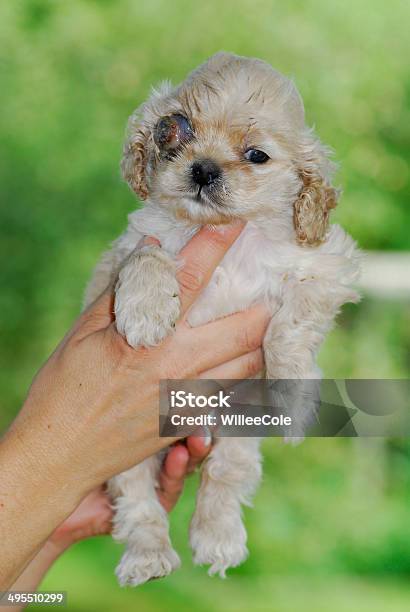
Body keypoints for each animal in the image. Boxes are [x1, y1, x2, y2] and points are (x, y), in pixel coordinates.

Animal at [85, 55, 358, 584]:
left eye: (256, 155)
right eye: (174, 130)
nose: (204, 168)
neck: (224, 236)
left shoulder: (323, 271)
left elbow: (289, 329)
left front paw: (293, 393)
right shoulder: (129, 251)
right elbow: (148, 258)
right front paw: (146, 314)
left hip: (237, 433)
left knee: (224, 476)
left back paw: (218, 539)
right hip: (122, 457)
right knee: (137, 503)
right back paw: (149, 557)